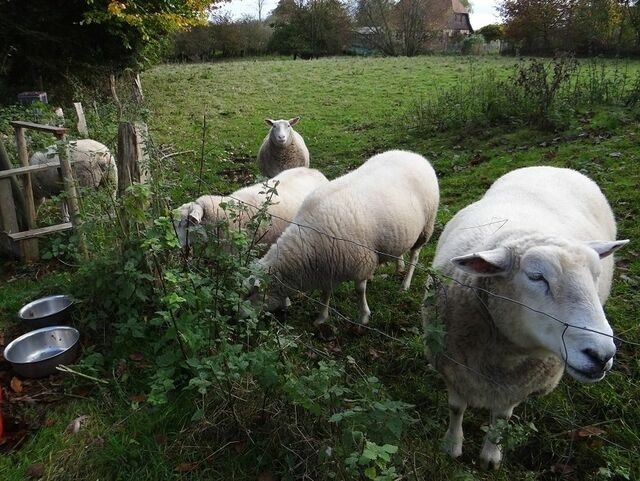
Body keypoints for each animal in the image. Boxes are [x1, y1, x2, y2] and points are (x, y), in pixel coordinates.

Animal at [255, 148, 440, 324]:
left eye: (252, 293)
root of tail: (415, 155)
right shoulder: (329, 266)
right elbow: (325, 293)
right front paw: (321, 318)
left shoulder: (361, 262)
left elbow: (359, 290)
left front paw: (364, 316)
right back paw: (399, 267)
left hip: (426, 226)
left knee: (415, 255)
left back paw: (405, 284)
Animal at [422, 166, 628, 468]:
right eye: (536, 276)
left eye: (596, 274)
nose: (601, 354)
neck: (502, 356)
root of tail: (553, 167)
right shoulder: (451, 365)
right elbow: (456, 407)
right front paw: (451, 446)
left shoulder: (517, 385)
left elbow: (501, 418)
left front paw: (490, 456)